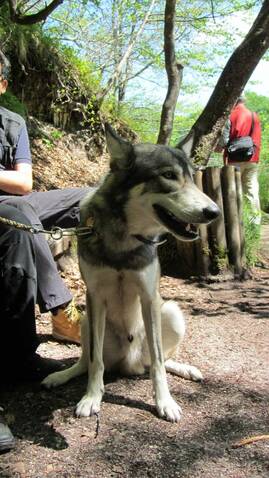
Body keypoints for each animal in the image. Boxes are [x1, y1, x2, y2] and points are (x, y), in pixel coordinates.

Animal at [41, 124, 218, 422]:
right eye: (168, 176)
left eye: (192, 179)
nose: (214, 212)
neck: (123, 238)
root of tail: (129, 365)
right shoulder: (95, 297)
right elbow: (95, 361)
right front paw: (91, 398)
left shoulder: (149, 298)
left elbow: (158, 364)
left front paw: (165, 402)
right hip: (87, 319)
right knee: (85, 361)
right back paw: (61, 376)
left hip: (170, 311)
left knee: (161, 360)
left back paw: (186, 369)